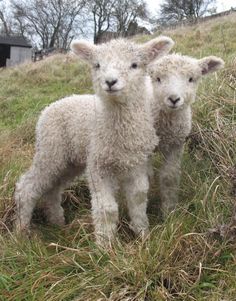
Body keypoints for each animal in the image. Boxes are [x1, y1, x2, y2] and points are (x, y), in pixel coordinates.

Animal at [14, 36, 173, 245]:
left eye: (134, 65)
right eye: (97, 65)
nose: (110, 81)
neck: (121, 132)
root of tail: (52, 106)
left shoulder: (137, 164)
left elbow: (138, 199)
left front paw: (142, 234)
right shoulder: (99, 167)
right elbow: (107, 208)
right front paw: (106, 244)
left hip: (70, 161)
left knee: (53, 189)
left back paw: (57, 222)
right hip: (50, 150)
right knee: (28, 187)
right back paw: (21, 229)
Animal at [148, 52, 224, 216]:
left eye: (191, 79)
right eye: (158, 78)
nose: (174, 99)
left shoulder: (176, 144)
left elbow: (169, 176)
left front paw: (169, 211)